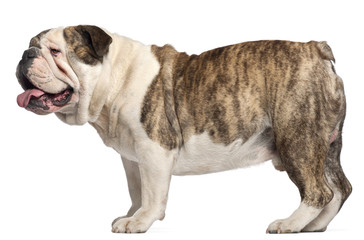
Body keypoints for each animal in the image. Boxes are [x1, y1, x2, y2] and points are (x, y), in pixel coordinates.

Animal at [15, 25, 352, 233]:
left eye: (55, 52)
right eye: (31, 46)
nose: (25, 55)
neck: (114, 79)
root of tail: (315, 49)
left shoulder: (153, 150)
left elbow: (152, 193)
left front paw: (141, 222)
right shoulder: (132, 158)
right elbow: (137, 190)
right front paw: (132, 215)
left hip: (298, 138)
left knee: (318, 190)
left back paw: (289, 224)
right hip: (326, 144)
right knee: (339, 187)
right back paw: (314, 225)